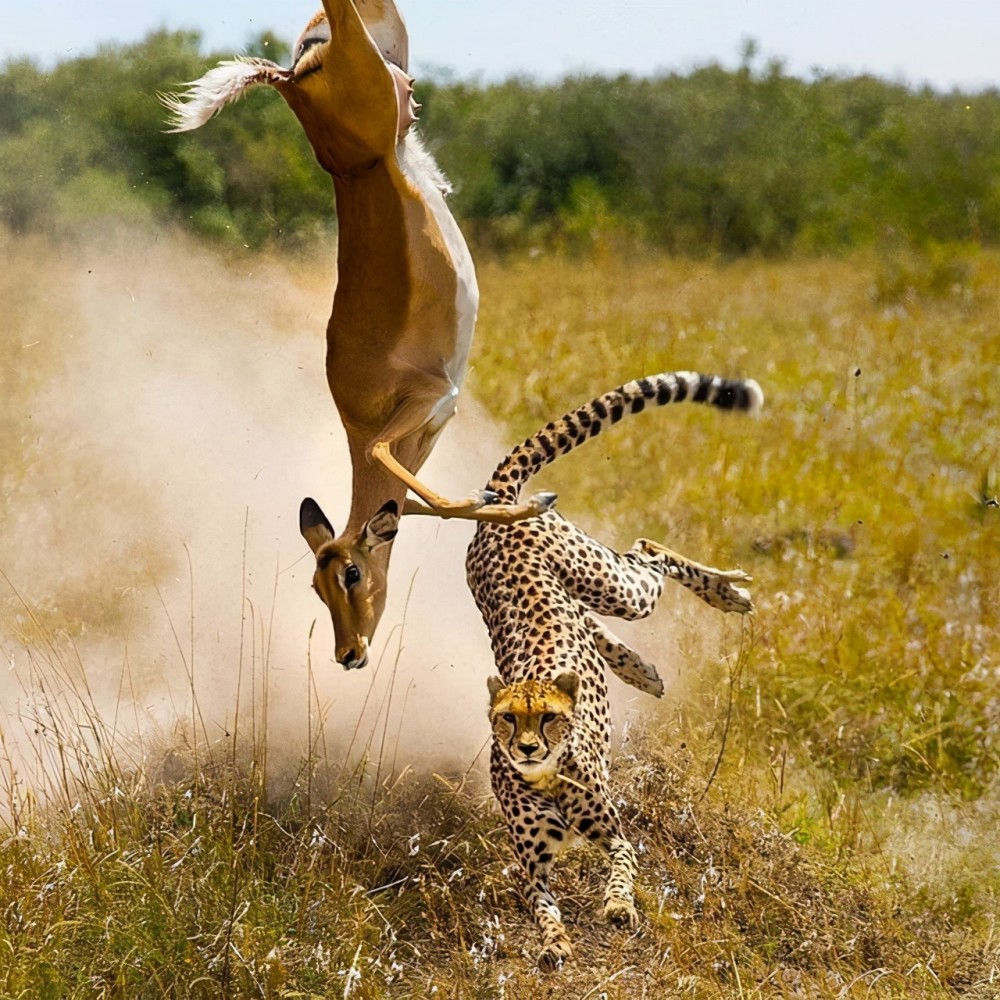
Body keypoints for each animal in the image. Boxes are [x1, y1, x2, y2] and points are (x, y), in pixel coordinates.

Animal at [163, 3, 556, 672]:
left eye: (348, 573)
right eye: (314, 585)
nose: (348, 653)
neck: (364, 408)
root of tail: (291, 80)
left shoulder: (431, 402)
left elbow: (396, 470)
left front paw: (533, 503)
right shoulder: (427, 427)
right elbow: (420, 500)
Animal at [464, 370, 760, 968]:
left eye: (549, 719)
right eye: (508, 719)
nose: (526, 747)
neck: (546, 774)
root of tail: (499, 503)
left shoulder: (615, 834)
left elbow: (622, 869)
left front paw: (619, 907)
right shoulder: (530, 867)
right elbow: (544, 909)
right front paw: (554, 943)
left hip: (615, 586)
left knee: (646, 550)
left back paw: (723, 592)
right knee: (591, 619)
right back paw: (642, 668)